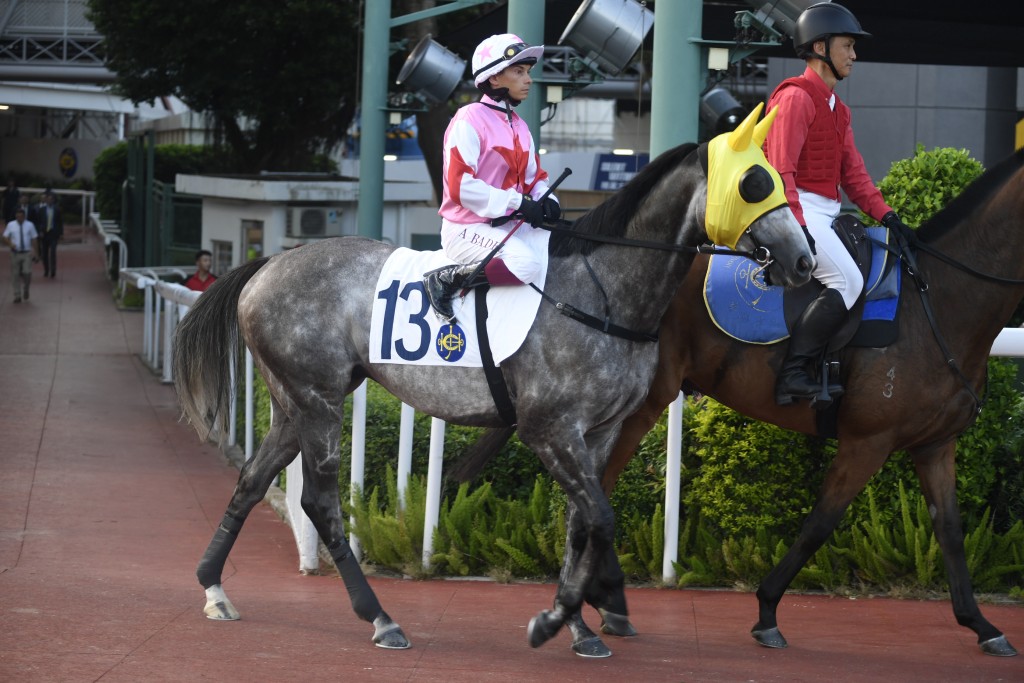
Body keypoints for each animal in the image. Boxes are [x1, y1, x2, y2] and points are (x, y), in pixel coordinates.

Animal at [174, 107, 815, 655]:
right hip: (318, 400)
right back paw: (380, 618)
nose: (804, 259)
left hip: (293, 404)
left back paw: (214, 587)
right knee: (319, 503)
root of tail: (269, 264)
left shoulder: (600, 430)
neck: (603, 293)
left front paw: (579, 624)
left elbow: (581, 523)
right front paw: (556, 620)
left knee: (251, 481)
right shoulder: (550, 429)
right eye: (754, 182)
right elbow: (599, 518)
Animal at [577, 148, 1024, 655]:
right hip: (644, 402)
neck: (938, 300)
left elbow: (950, 530)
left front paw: (982, 624)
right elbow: (820, 524)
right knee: (600, 484)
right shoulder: (867, 441)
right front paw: (767, 609)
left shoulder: (935, 445)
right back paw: (604, 597)